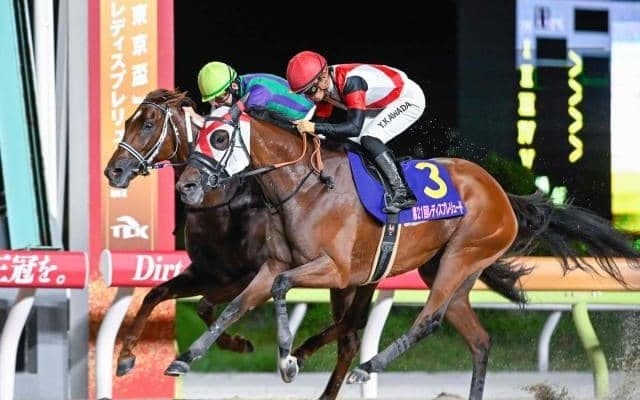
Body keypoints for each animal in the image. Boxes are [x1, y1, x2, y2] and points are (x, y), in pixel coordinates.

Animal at [173, 111, 640, 400]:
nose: (187, 186)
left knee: (428, 319)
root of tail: (501, 194)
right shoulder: (274, 264)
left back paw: (368, 366)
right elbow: (236, 306)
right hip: (449, 271)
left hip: (461, 256)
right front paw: (185, 358)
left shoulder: (337, 271)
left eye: (219, 136)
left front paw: (288, 357)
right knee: (479, 340)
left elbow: (283, 288)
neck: (304, 187)